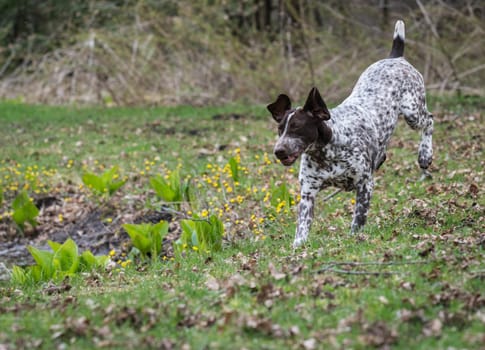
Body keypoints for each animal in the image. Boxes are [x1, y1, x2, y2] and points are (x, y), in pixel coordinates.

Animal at [266, 20, 432, 247]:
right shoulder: (308, 193)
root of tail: (395, 58)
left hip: (412, 112)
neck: (327, 153)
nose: (279, 151)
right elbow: (302, 228)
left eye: (297, 127)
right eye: (280, 129)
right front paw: (298, 248)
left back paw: (425, 154)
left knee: (429, 121)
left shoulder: (365, 185)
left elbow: (358, 219)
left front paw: (355, 238)